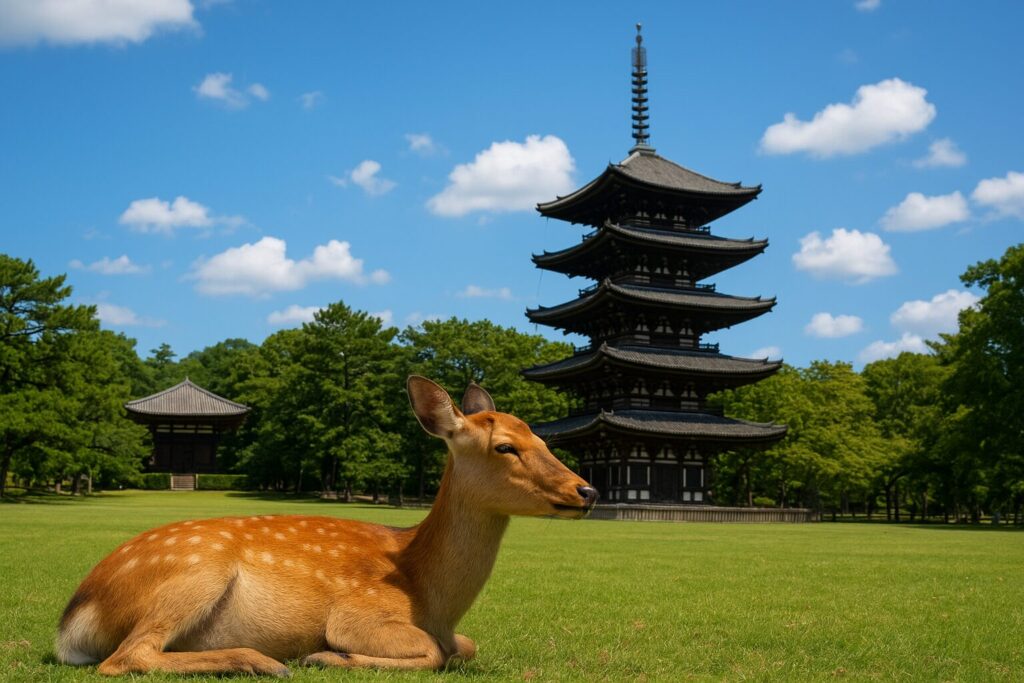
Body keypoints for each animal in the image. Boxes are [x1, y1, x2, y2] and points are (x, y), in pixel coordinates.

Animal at [55, 376, 598, 676]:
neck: (433, 598)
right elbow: (432, 651)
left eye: (542, 439)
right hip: (194, 573)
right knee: (128, 656)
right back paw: (266, 663)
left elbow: (464, 646)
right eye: (505, 446)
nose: (587, 491)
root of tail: (72, 619)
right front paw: (326, 657)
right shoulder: (359, 613)